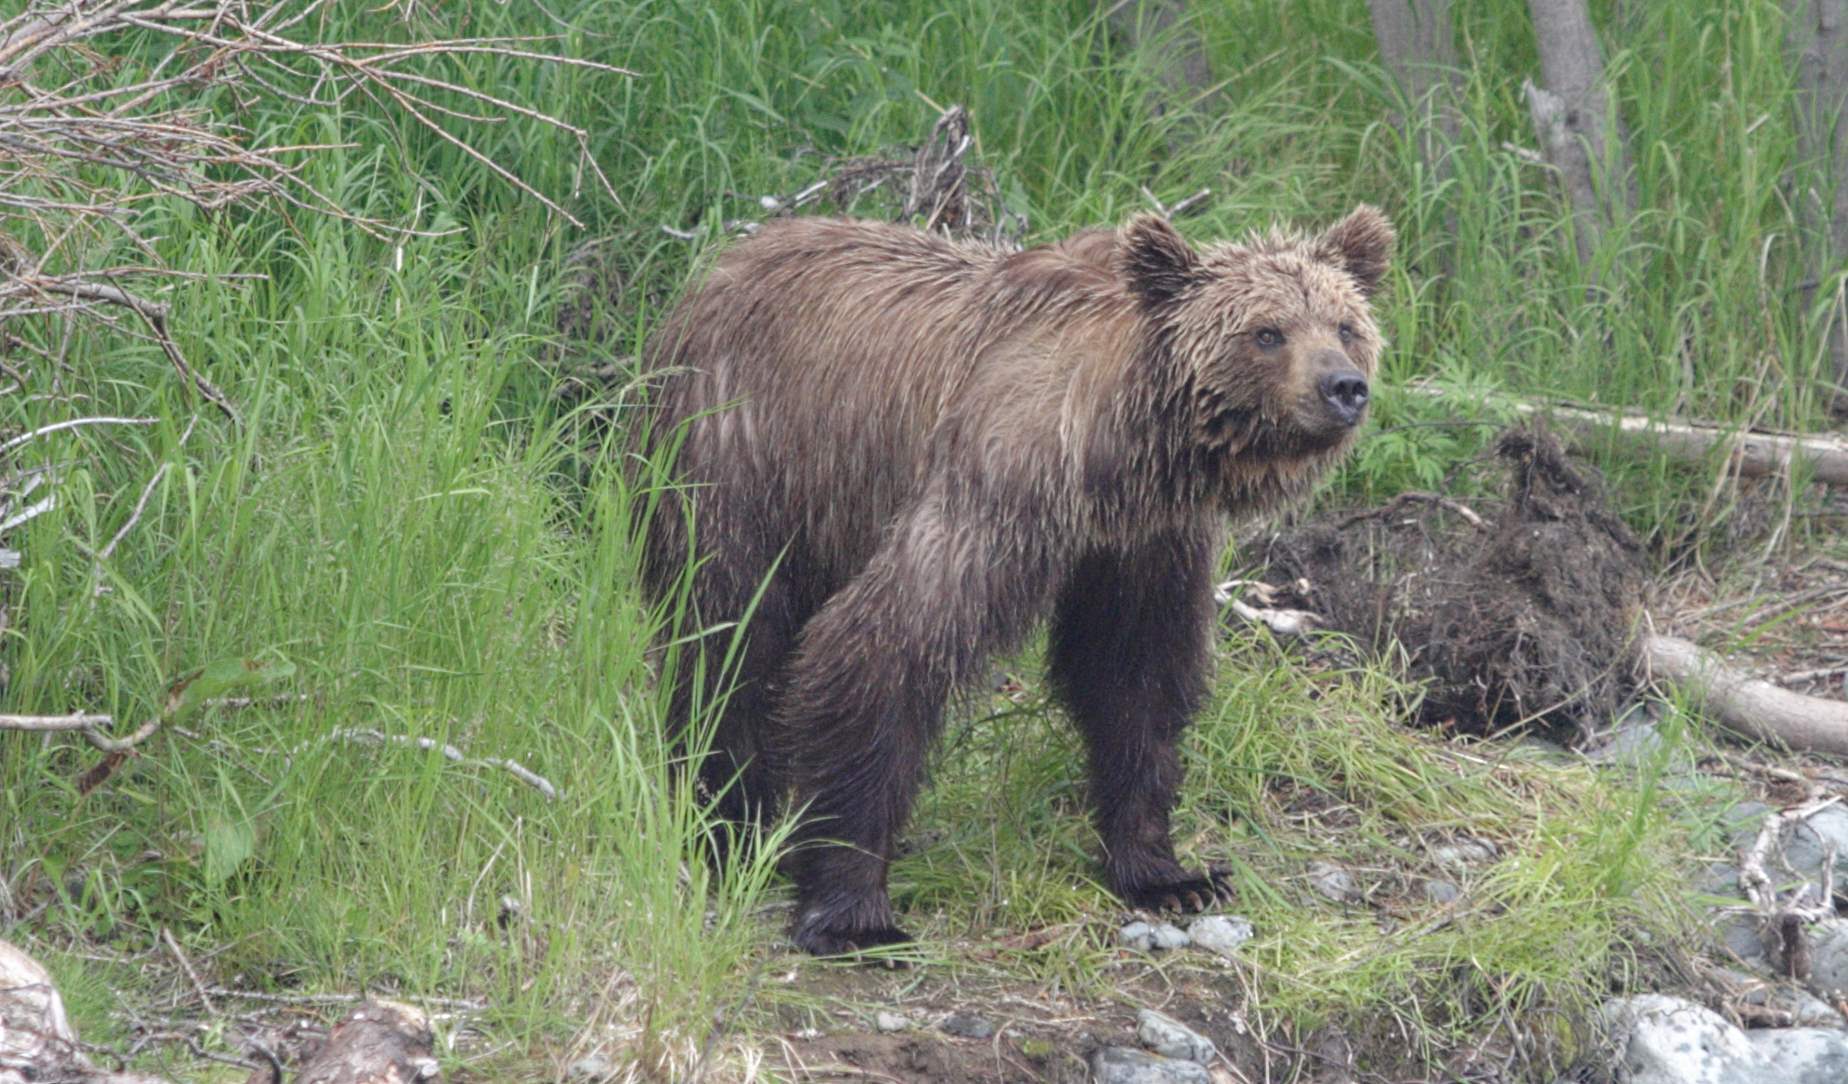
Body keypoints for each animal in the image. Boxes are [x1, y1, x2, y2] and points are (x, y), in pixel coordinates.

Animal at [632, 207, 1389, 952]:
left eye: (1345, 325)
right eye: (1267, 332)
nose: (1343, 387)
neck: (1119, 453)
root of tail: (719, 264)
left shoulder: (1141, 544)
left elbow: (1135, 677)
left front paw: (1167, 872)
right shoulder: (1001, 483)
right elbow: (885, 645)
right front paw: (850, 909)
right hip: (740, 453)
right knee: (729, 636)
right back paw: (723, 825)